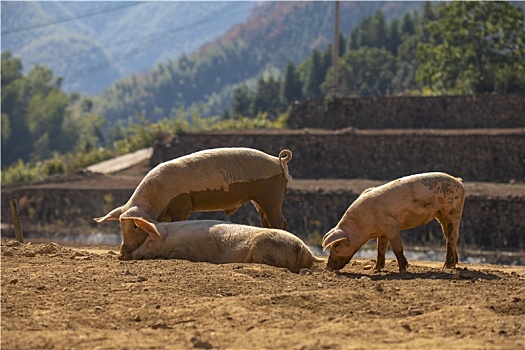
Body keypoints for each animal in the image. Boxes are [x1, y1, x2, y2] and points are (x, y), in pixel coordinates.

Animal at [93, 146, 290, 258]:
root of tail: (278, 161)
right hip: (259, 198)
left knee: (279, 220)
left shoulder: (182, 203)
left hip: (271, 192)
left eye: (135, 226)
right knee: (266, 219)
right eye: (120, 226)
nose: (121, 253)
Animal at [322, 172, 464, 274]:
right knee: (451, 236)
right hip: (441, 215)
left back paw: (446, 267)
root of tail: (458, 181)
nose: (327, 268)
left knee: (451, 237)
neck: (362, 226)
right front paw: (375, 269)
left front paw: (403, 270)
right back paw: (453, 264)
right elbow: (380, 249)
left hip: (453, 211)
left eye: (336, 246)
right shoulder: (382, 231)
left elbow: (397, 249)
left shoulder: (392, 226)